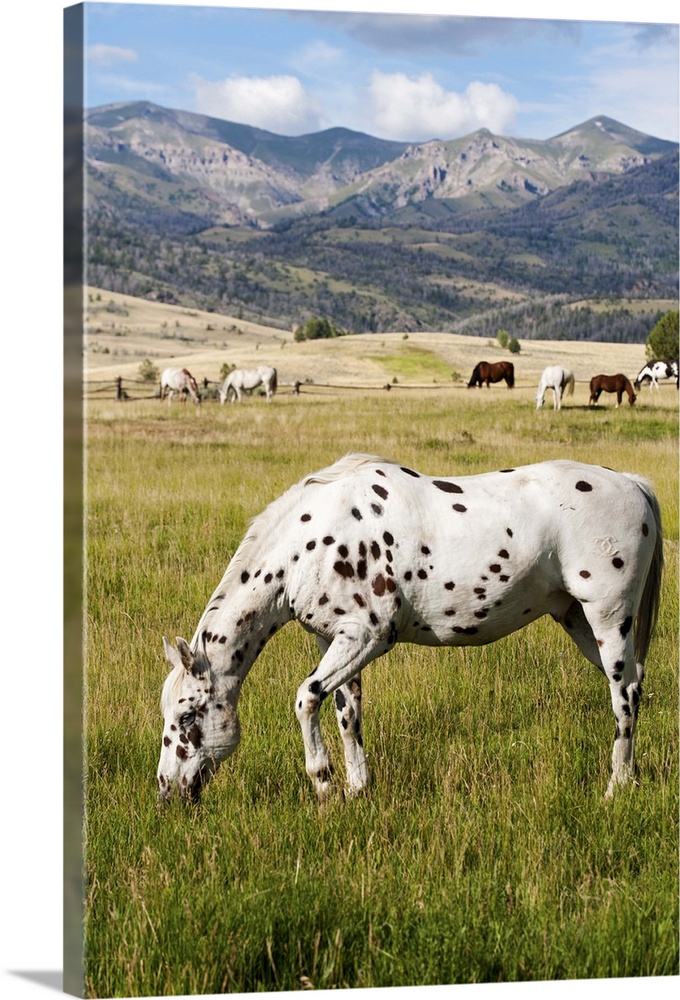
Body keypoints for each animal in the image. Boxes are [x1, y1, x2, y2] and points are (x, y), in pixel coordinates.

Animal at [157, 454, 660, 804]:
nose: (166, 792)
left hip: (608, 618)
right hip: (577, 620)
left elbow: (306, 699)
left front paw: (324, 786)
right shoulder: (335, 639)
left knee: (624, 695)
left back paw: (615, 788)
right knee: (632, 686)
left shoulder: (369, 637)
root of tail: (633, 484)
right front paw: (357, 789)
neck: (308, 542)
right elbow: (347, 713)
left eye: (188, 716)